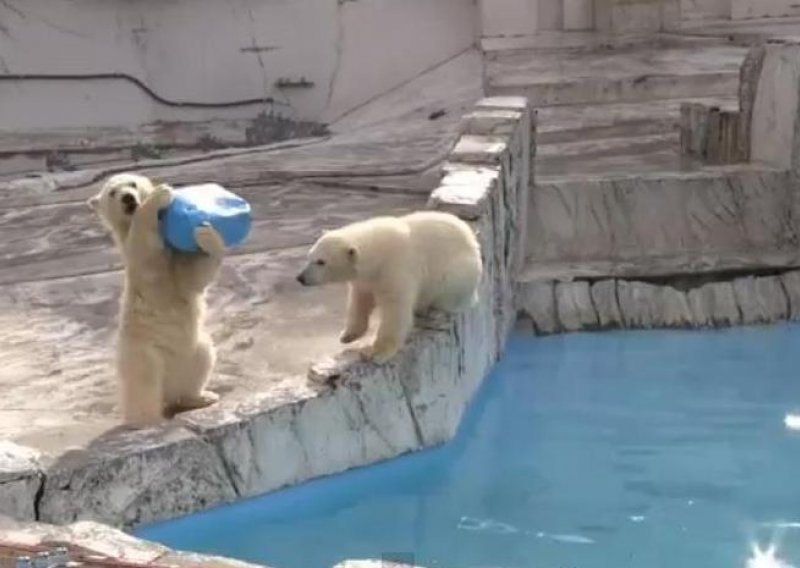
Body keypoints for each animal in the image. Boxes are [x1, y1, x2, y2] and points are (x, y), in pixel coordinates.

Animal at [88, 172, 225, 426]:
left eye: (132, 184)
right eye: (112, 192)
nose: (128, 198)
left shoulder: (176, 264)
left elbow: (191, 277)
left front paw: (207, 234)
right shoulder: (144, 267)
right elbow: (146, 249)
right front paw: (160, 195)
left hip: (191, 351)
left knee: (203, 355)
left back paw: (202, 397)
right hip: (142, 353)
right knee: (145, 383)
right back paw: (147, 420)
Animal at [296, 211, 478, 362]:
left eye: (321, 262)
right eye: (309, 257)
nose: (300, 278)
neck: (377, 255)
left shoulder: (396, 269)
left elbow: (395, 309)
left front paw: (376, 353)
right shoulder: (366, 280)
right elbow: (359, 301)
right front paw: (347, 335)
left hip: (458, 273)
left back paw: (434, 312)